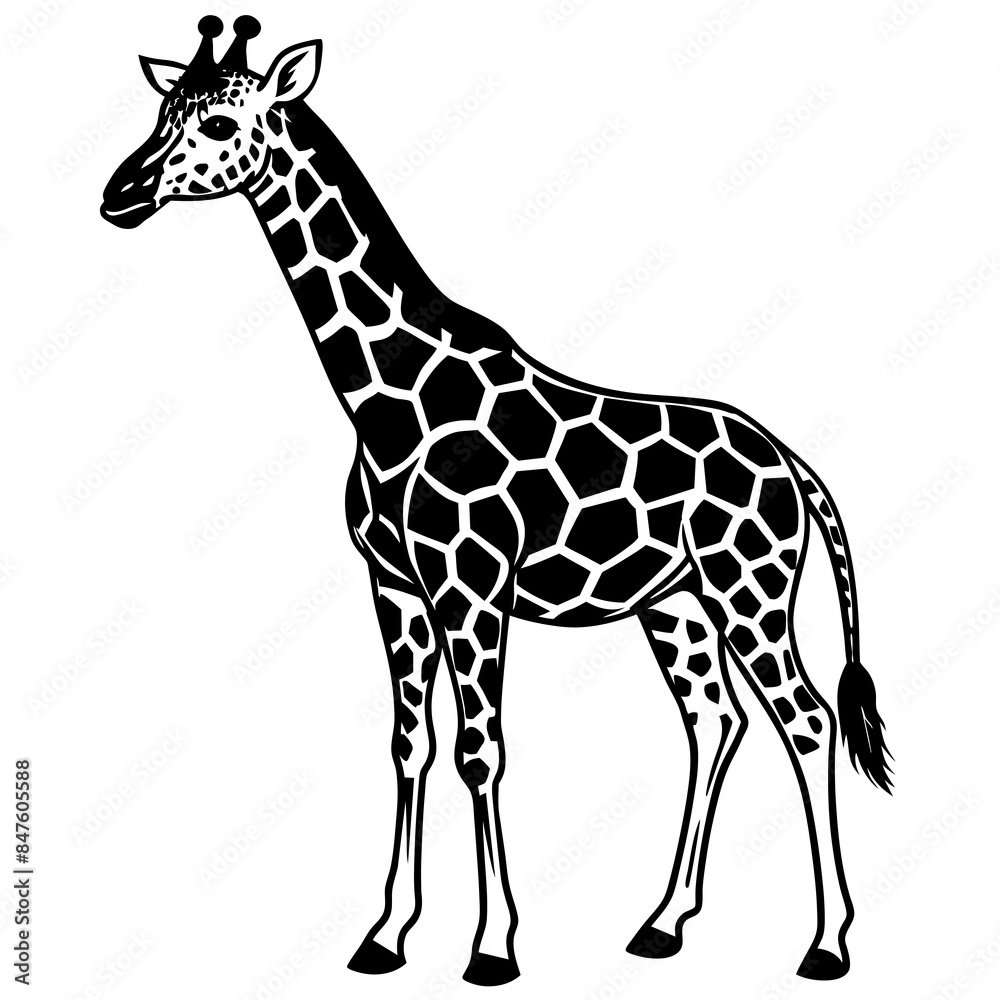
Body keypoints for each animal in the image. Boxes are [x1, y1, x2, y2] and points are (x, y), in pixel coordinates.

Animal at [100, 16, 892, 987]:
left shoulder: (472, 588)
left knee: (807, 721)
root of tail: (791, 463)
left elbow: (481, 750)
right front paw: (385, 936)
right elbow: (411, 744)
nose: (119, 194)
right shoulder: (396, 587)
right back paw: (663, 923)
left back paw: (826, 944)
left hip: (752, 589)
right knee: (715, 722)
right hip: (674, 604)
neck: (387, 398)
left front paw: (492, 948)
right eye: (162, 112)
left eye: (218, 125)